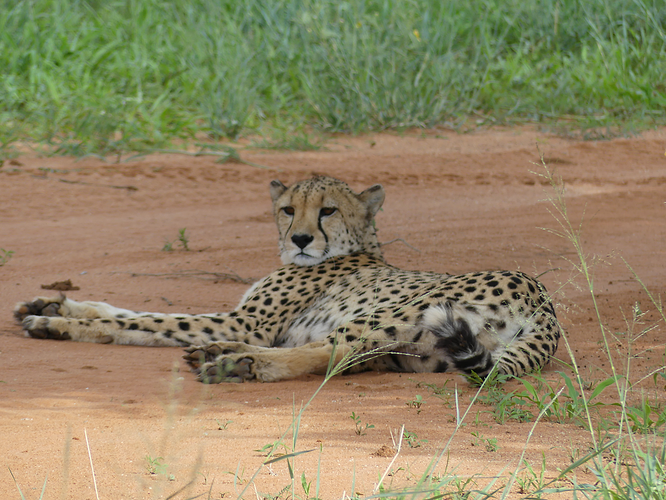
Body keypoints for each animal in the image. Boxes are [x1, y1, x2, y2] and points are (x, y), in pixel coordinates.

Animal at [13, 176, 556, 382]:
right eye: (288, 209)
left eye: (328, 210)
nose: (299, 238)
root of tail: (541, 296)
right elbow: (131, 311)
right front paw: (49, 306)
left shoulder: (244, 323)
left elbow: (142, 323)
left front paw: (61, 325)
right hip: (414, 354)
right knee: (341, 359)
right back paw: (229, 359)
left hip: (399, 313)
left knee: (329, 352)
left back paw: (237, 364)